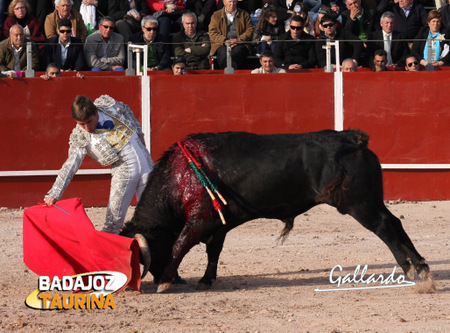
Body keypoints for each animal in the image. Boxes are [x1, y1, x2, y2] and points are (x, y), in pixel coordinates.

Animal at [121, 128, 430, 290]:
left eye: (143, 254)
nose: (156, 276)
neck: (179, 177)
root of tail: (352, 139)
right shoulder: (219, 224)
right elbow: (213, 251)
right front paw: (206, 280)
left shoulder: (201, 219)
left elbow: (181, 244)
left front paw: (166, 281)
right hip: (371, 200)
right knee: (395, 223)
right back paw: (422, 268)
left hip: (359, 204)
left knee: (385, 227)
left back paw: (409, 269)